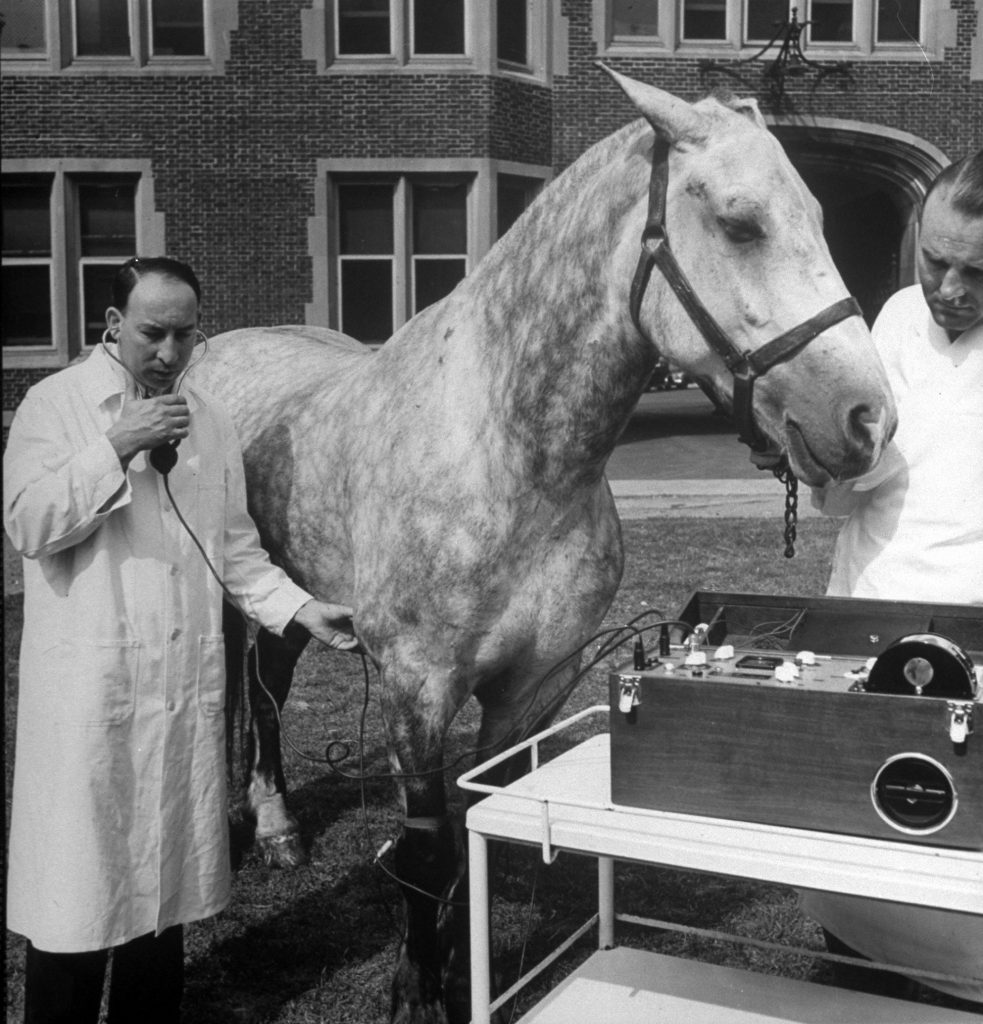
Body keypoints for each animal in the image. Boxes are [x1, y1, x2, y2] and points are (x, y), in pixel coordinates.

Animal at [192, 72, 896, 1024]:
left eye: (820, 217)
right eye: (740, 222)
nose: (866, 420)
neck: (506, 452)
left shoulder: (530, 690)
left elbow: (476, 828)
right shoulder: (416, 692)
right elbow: (427, 853)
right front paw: (419, 992)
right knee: (263, 700)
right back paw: (272, 828)